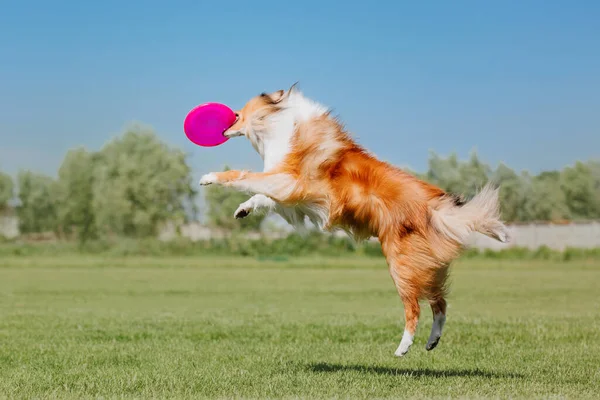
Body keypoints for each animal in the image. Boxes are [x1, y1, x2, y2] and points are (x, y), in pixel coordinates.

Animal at [200, 84, 506, 356]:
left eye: (238, 113)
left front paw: (210, 177)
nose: (224, 126)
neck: (283, 124)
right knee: (440, 303)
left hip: (400, 264)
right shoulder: (290, 192)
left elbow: (245, 177)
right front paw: (243, 209)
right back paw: (432, 341)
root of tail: (437, 206)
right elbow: (261, 196)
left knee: (415, 308)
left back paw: (403, 347)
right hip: (426, 265)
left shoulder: (289, 181)